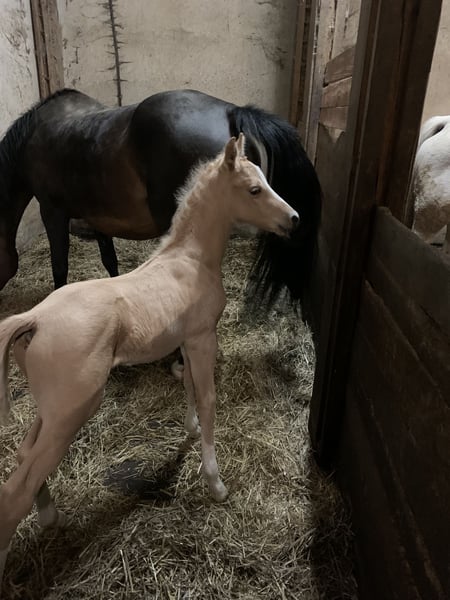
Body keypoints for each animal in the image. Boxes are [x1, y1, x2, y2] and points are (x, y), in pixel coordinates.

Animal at [0, 134, 299, 589]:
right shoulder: (203, 338)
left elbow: (190, 388)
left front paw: (190, 430)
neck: (190, 260)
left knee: (23, 456)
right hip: (72, 410)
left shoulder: (188, 341)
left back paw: (51, 514)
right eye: (254, 189)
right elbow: (208, 399)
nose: (294, 220)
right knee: (14, 493)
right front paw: (216, 484)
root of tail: (31, 319)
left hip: (51, 410)